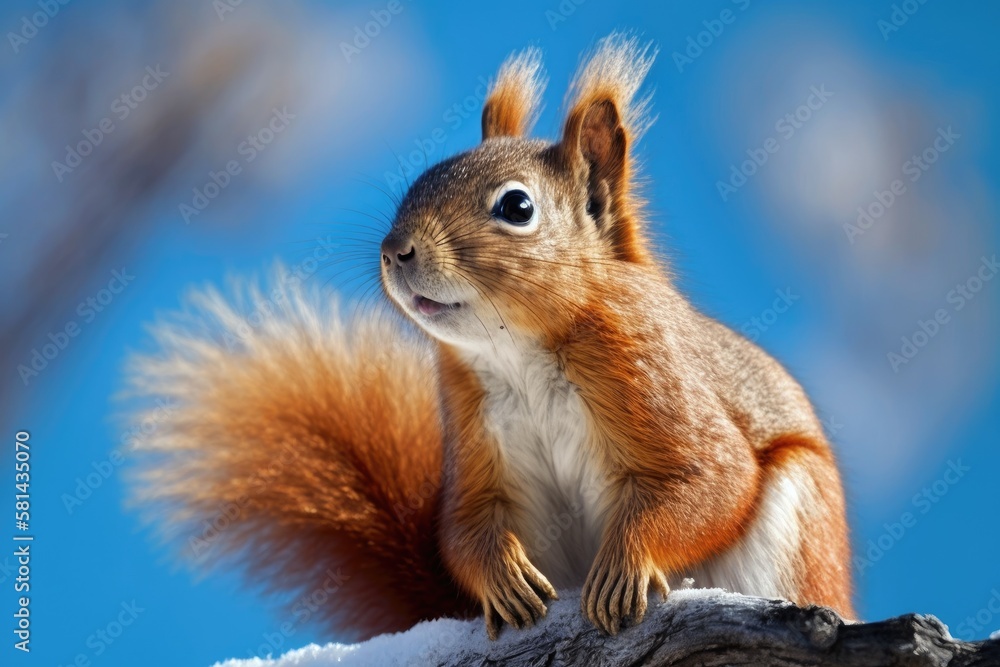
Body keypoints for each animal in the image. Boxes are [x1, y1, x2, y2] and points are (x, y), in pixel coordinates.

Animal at [128, 33, 853, 643]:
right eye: (423, 177)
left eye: (517, 206)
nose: (395, 250)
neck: (519, 352)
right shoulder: (471, 424)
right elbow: (465, 525)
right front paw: (500, 573)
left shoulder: (651, 370)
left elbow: (710, 478)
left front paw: (625, 562)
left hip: (799, 515)